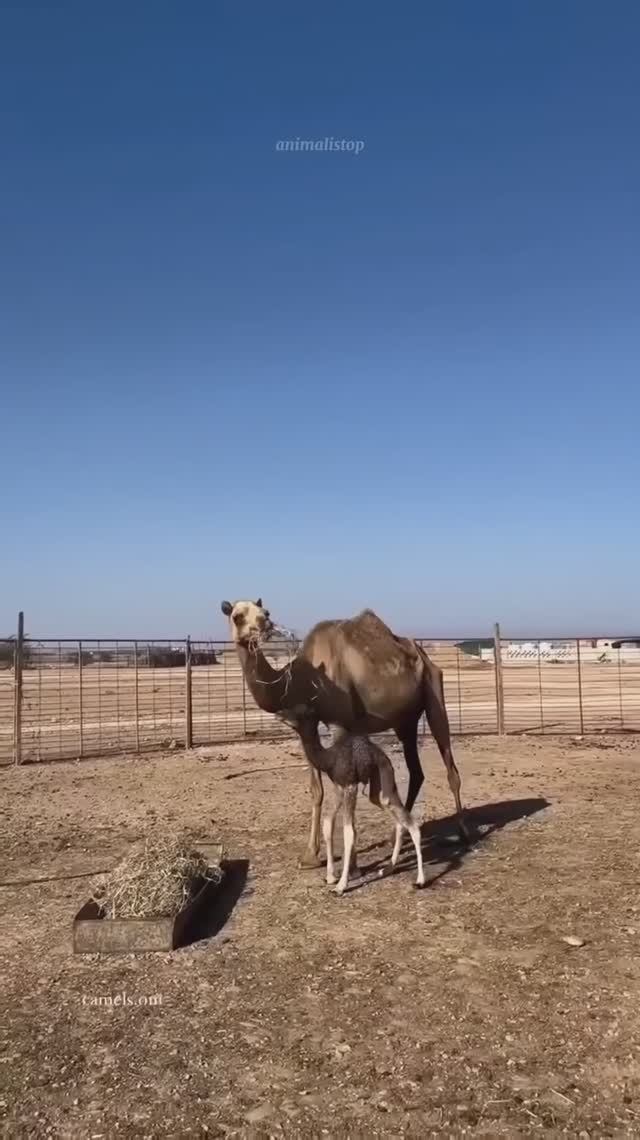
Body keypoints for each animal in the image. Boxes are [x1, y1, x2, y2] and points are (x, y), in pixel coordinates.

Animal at [221, 597, 470, 861]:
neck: (304, 679)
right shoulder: (306, 724)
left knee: (450, 764)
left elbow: (339, 786)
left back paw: (462, 832)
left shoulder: (338, 722)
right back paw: (396, 835)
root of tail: (423, 655)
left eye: (266, 612)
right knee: (416, 771)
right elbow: (316, 789)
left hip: (434, 693)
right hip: (406, 719)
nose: (264, 624)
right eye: (237, 616)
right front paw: (310, 855)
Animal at [294, 715, 424, 893]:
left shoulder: (350, 786)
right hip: (378, 790)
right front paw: (330, 877)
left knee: (409, 822)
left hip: (384, 776)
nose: (278, 715)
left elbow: (349, 832)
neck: (330, 758)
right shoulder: (339, 787)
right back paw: (387, 869)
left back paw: (420, 880)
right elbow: (328, 823)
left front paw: (341, 885)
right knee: (396, 817)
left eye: (300, 716)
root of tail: (384, 757)